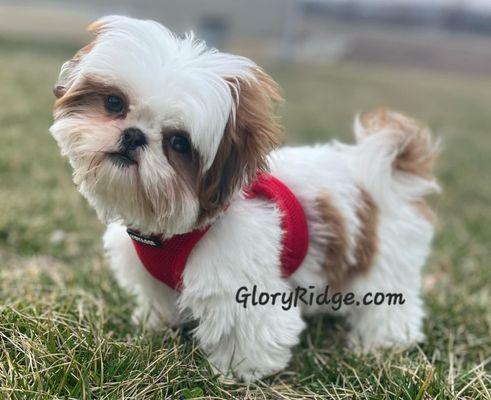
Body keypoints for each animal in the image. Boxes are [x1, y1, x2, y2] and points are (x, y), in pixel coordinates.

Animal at [50, 16, 439, 381]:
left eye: (178, 142)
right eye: (114, 103)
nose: (133, 136)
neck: (173, 231)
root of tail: (389, 173)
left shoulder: (239, 282)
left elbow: (249, 326)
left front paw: (241, 370)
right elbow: (159, 299)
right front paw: (156, 325)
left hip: (385, 262)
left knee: (389, 302)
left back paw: (385, 341)